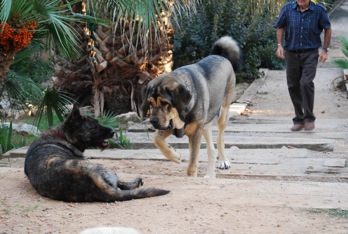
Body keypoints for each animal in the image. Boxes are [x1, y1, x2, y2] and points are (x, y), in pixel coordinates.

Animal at [24, 105, 169, 201]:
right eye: (94, 126)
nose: (113, 132)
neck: (63, 136)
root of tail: (93, 179)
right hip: (106, 169)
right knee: (122, 185)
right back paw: (136, 182)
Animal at [140, 36, 241, 178]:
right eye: (150, 103)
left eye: (165, 103)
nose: (153, 121)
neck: (181, 113)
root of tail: (218, 55)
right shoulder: (171, 126)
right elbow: (156, 139)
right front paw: (174, 156)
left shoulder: (194, 133)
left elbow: (192, 164)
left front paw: (191, 177)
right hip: (205, 124)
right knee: (211, 149)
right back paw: (210, 174)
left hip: (223, 113)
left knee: (220, 138)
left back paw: (223, 160)